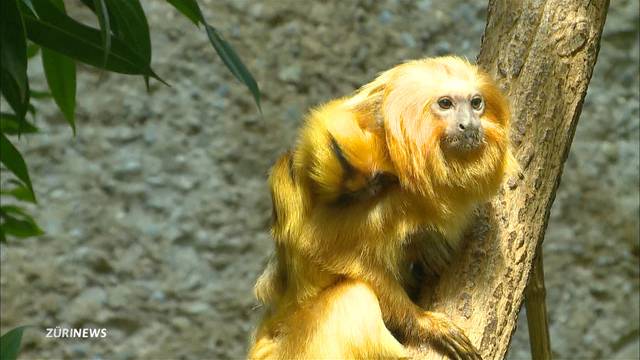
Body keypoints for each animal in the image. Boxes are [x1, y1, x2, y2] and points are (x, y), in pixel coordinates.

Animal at [249, 56, 516, 360]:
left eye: (476, 103)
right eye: (445, 104)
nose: (468, 124)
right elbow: (319, 248)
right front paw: (424, 323)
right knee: (354, 294)